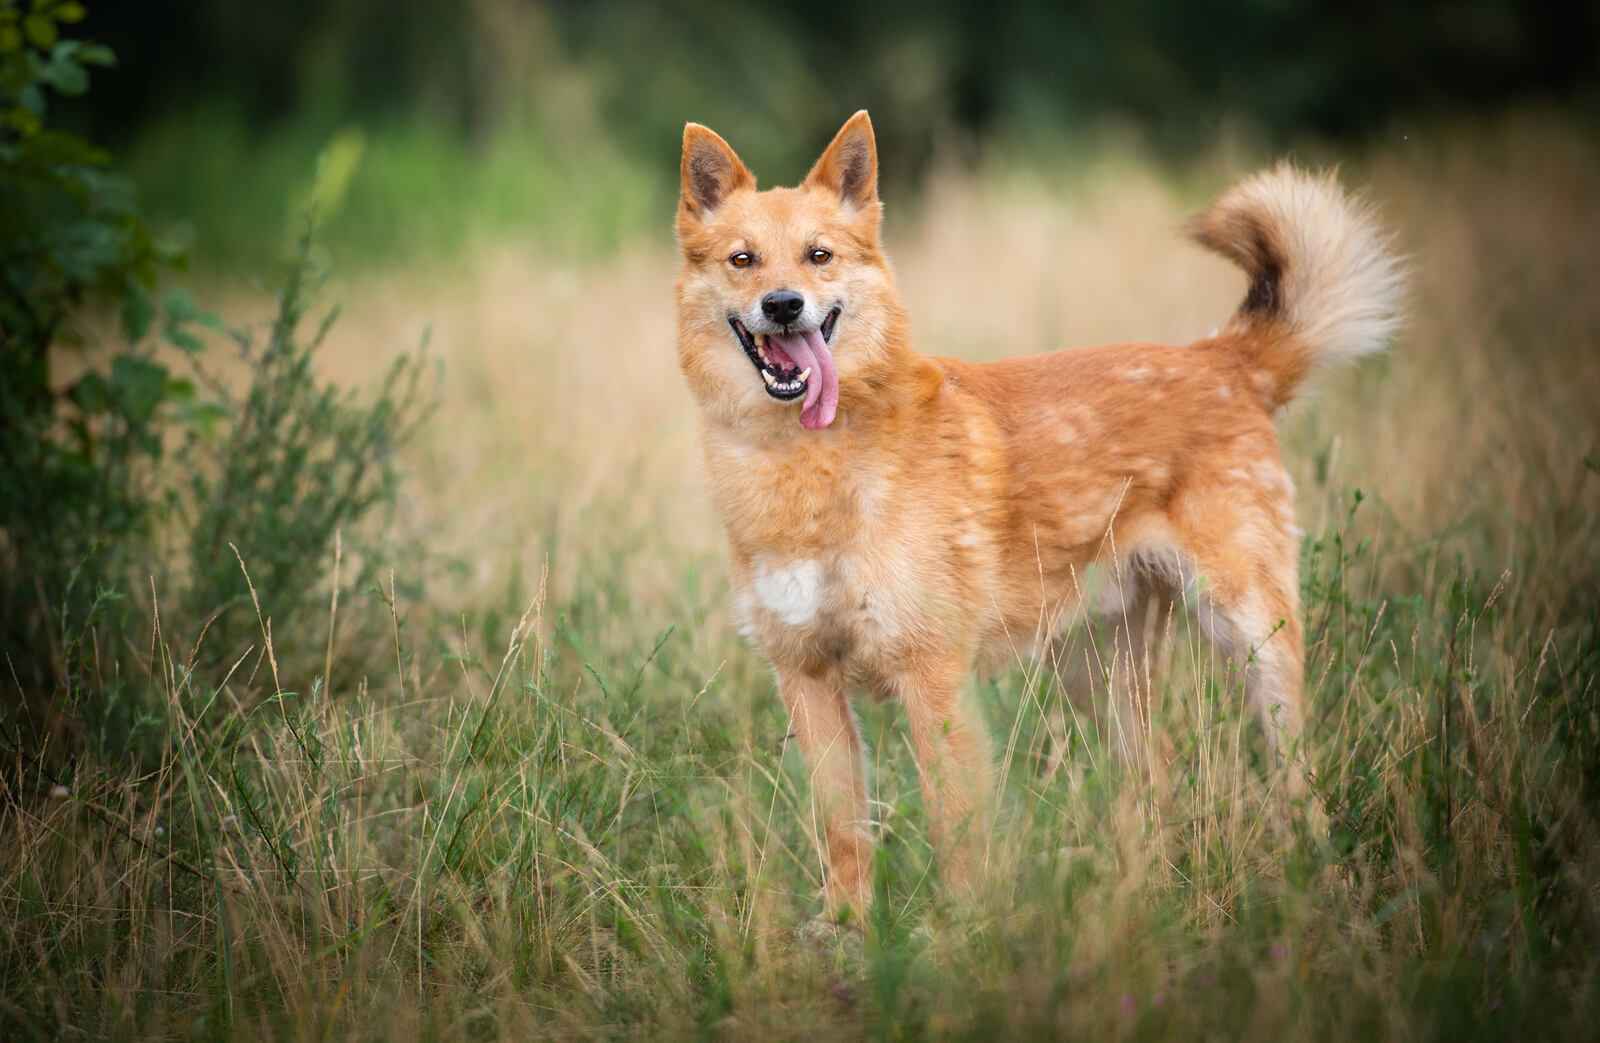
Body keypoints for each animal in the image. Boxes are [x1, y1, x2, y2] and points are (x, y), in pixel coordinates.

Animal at [675, 110, 1401, 915]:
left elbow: (957, 833)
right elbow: (844, 840)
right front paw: (849, 934)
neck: (808, 466)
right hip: (1098, 671)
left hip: (1251, 638)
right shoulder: (806, 680)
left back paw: (1313, 876)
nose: (783, 305)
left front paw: (966, 934)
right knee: (1156, 776)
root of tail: (1222, 361)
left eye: (818, 256)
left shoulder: (933, 679)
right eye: (743, 260)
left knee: (1297, 778)